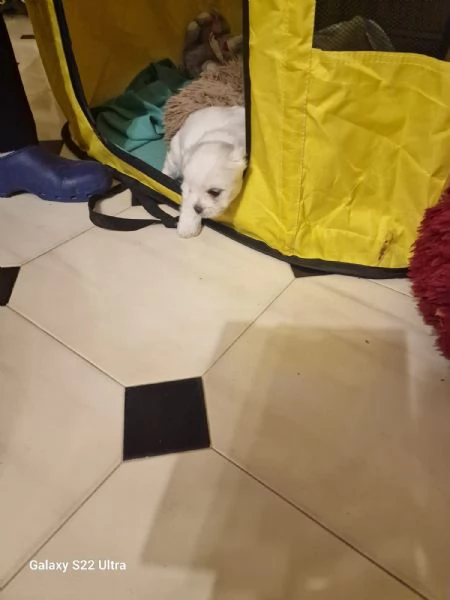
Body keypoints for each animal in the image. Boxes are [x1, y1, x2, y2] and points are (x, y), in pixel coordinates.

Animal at [162, 106, 246, 238]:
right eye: (190, 189)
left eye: (214, 192)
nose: (197, 209)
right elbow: (188, 202)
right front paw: (188, 226)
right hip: (175, 154)